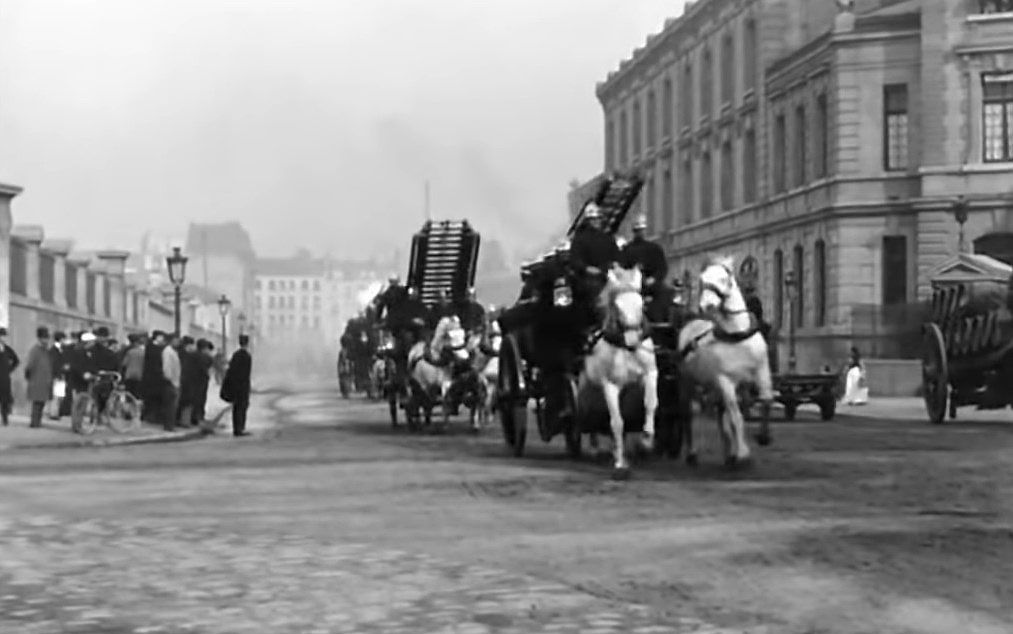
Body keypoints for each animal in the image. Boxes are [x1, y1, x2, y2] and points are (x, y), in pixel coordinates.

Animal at [583, 263, 660, 476]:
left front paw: (646, 441)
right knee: (587, 413)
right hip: (587, 385)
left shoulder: (650, 373)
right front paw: (620, 463)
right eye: (617, 306)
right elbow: (616, 422)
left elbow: (650, 403)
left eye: (641, 304)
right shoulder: (609, 385)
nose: (633, 342)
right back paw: (594, 446)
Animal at [680, 254, 773, 465]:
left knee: (720, 414)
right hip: (689, 382)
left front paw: (763, 436)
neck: (737, 336)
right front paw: (743, 452)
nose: (706, 306)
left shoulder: (761, 372)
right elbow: (736, 417)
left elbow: (765, 401)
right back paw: (693, 452)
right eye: (702, 279)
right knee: (689, 414)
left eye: (724, 279)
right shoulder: (725, 381)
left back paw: (728, 451)